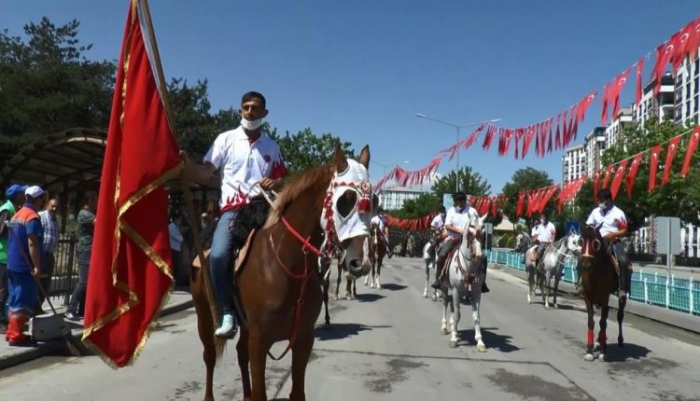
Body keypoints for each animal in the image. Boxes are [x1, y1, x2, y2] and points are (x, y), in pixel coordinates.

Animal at [189, 145, 374, 400]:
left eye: (372, 200)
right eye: (344, 201)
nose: (361, 262)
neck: (286, 264)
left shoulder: (304, 339)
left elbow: (297, 392)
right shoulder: (259, 341)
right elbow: (260, 392)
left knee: (240, 352)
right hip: (205, 315)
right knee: (209, 356)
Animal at [580, 223, 628, 360]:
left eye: (595, 243)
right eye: (580, 241)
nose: (585, 265)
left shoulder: (604, 295)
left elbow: (603, 322)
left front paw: (603, 351)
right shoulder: (588, 296)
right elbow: (591, 322)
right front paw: (590, 350)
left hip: (621, 297)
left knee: (619, 316)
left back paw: (619, 341)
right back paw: (599, 340)